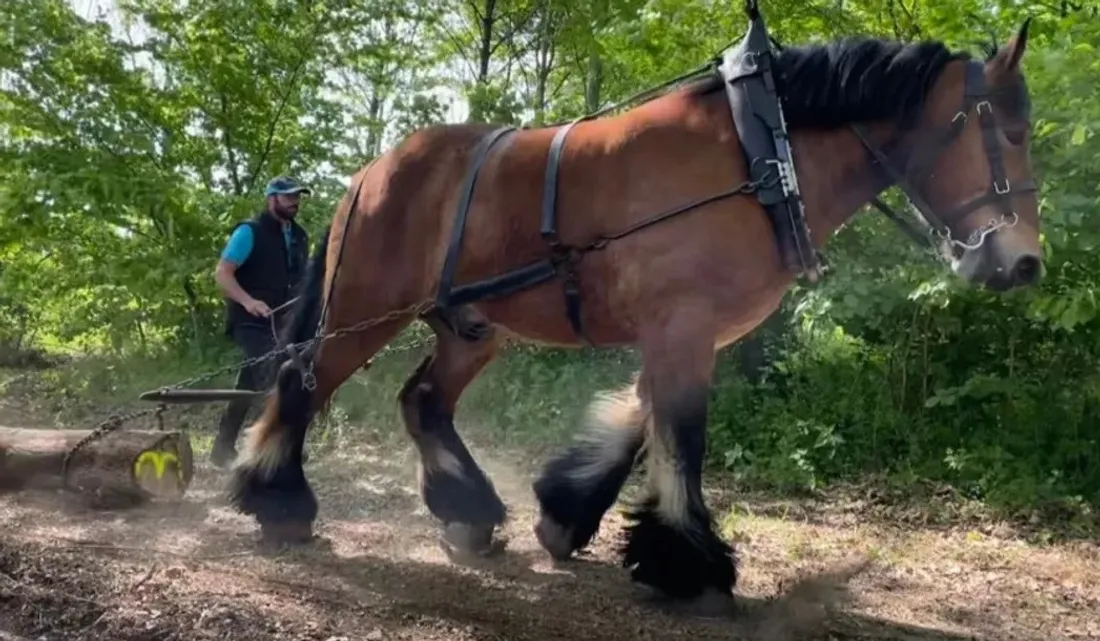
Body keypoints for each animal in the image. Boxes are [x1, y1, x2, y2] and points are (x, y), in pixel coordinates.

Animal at [227, 16, 1042, 607]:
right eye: (1007, 132)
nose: (1023, 263)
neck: (762, 156)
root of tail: (371, 171)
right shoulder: (682, 326)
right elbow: (680, 439)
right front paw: (692, 563)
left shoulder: (684, 331)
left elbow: (634, 422)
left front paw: (565, 518)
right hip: (366, 308)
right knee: (301, 383)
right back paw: (278, 501)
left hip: (470, 327)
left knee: (423, 398)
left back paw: (468, 513)